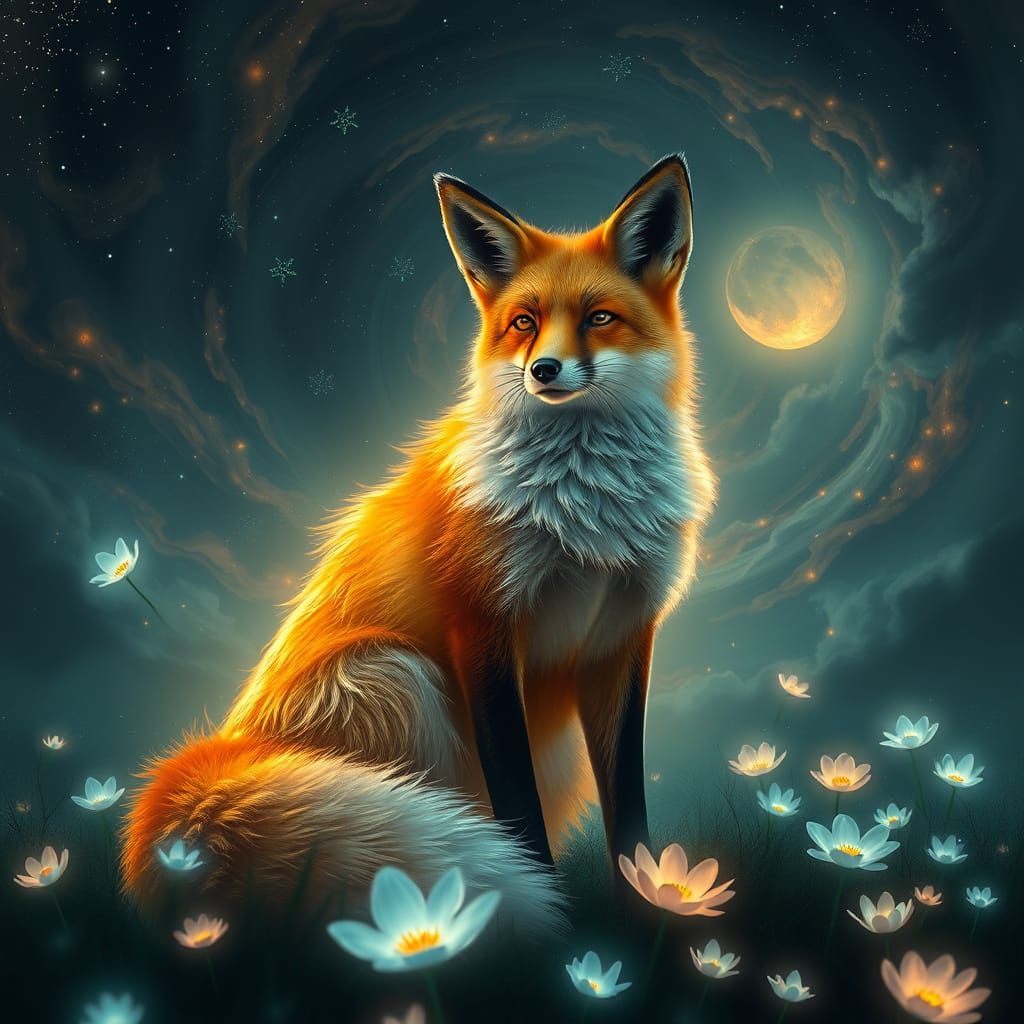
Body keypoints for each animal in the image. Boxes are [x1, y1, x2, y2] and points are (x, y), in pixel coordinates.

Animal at [122, 154, 715, 932]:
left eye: (599, 319)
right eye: (523, 323)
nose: (544, 370)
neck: (586, 522)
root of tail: (215, 754)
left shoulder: (621, 636)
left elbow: (630, 808)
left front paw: (648, 910)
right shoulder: (481, 627)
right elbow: (515, 803)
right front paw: (549, 911)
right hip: (397, 674)